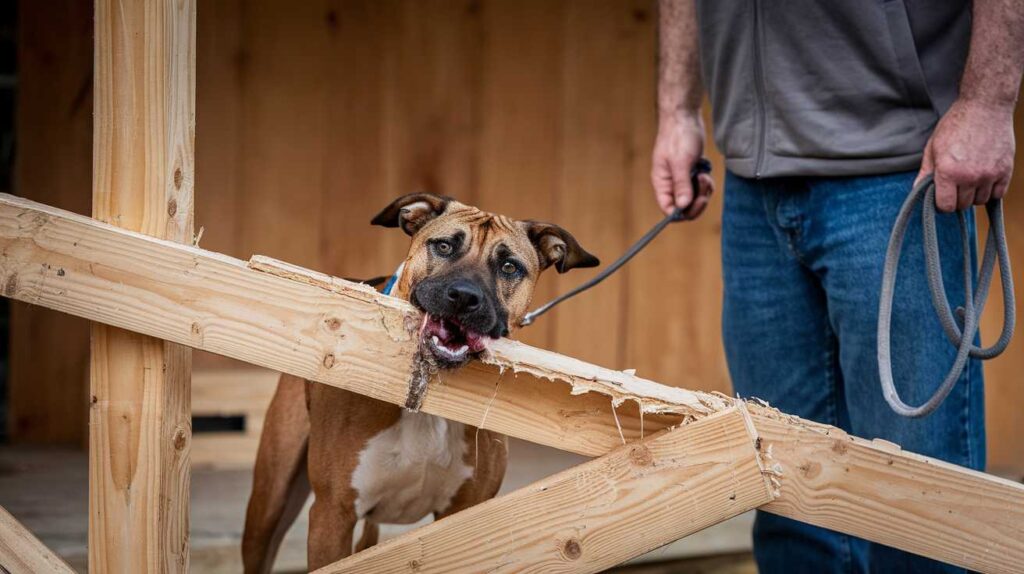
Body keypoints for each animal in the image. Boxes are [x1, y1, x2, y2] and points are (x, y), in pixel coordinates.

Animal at [240, 192, 598, 568]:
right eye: (443, 246)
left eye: (509, 266)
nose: (464, 296)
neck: (427, 395)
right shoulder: (332, 514)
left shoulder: (468, 519)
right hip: (269, 506)